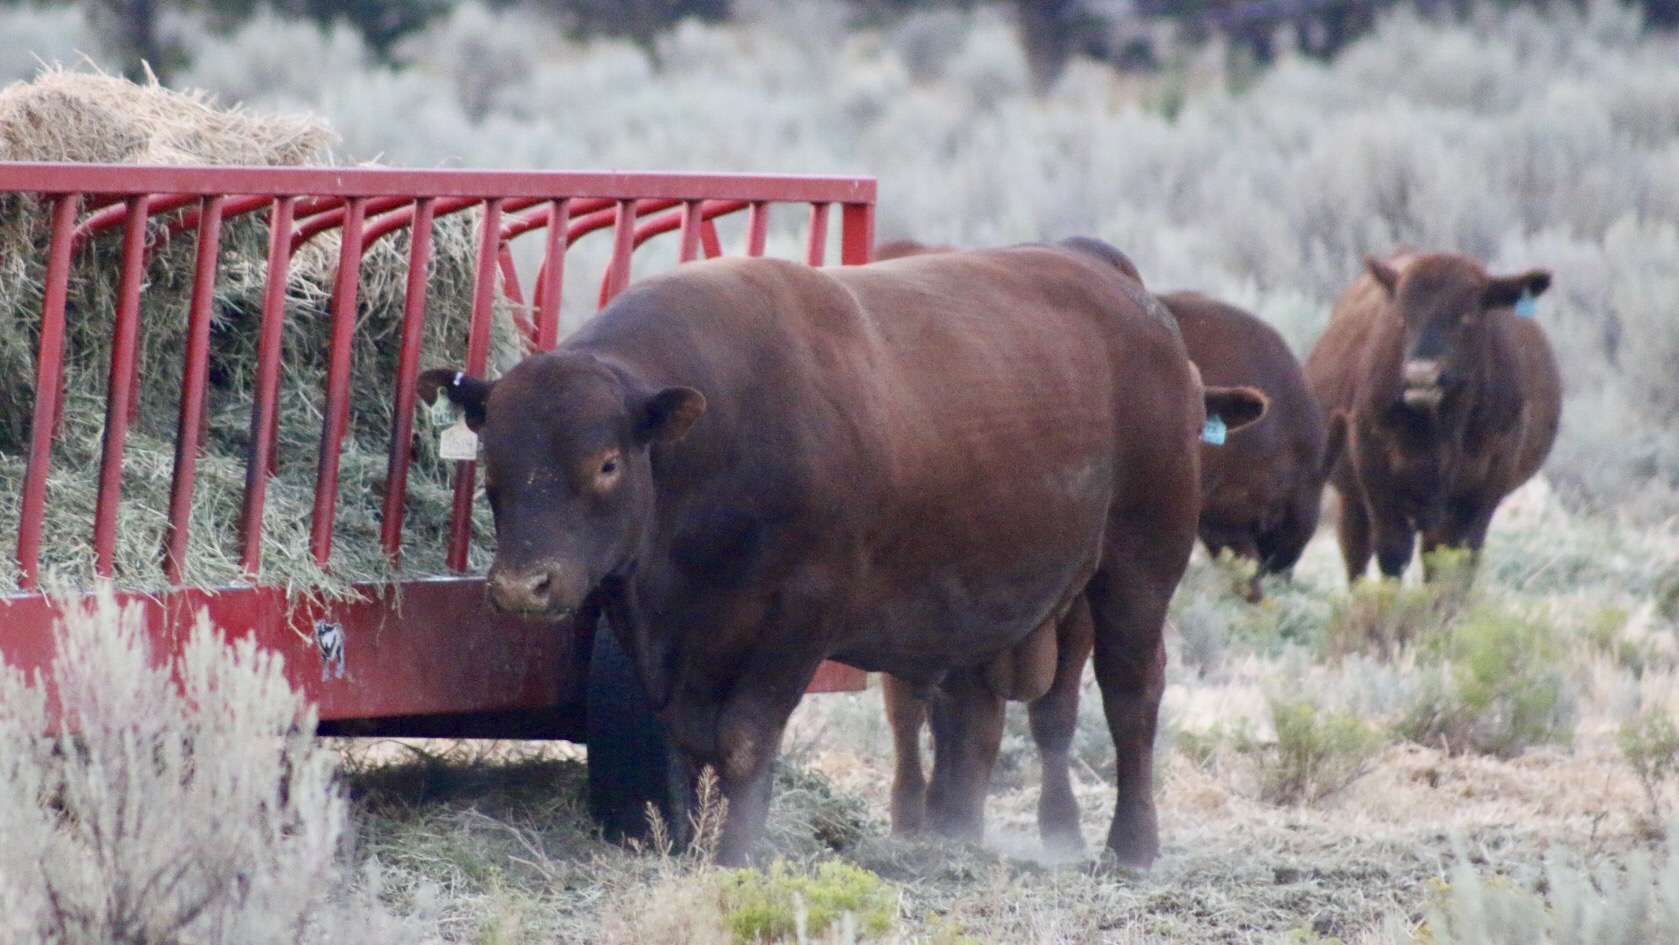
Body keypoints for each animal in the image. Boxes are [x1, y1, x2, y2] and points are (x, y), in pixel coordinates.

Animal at [420, 240, 1266, 867]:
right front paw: (692, 845)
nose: (523, 584)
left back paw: (1132, 845)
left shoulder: (800, 614)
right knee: (978, 715)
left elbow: (744, 735)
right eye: (491, 463)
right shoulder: (670, 633)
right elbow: (690, 740)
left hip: (1136, 568)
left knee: (1130, 697)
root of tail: (1144, 312)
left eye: (604, 464)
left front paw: (737, 852)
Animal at [1304, 251, 1560, 583]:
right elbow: (1393, 552)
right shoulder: (1374, 466)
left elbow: (1459, 561)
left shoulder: (1490, 480)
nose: (1421, 375)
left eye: (1467, 316)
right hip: (1351, 498)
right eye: (1402, 316)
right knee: (1356, 552)